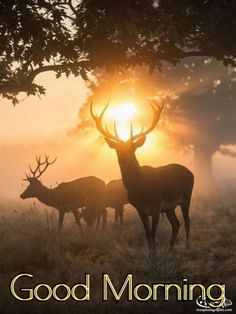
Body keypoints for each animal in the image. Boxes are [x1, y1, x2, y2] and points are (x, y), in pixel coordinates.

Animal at [90, 102, 194, 254]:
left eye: (132, 148)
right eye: (117, 149)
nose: (124, 160)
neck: (141, 189)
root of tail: (191, 172)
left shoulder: (156, 206)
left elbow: (154, 232)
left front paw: (155, 255)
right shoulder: (140, 209)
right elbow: (147, 233)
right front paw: (150, 254)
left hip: (186, 197)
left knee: (187, 222)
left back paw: (187, 247)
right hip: (169, 207)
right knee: (176, 224)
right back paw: (170, 249)